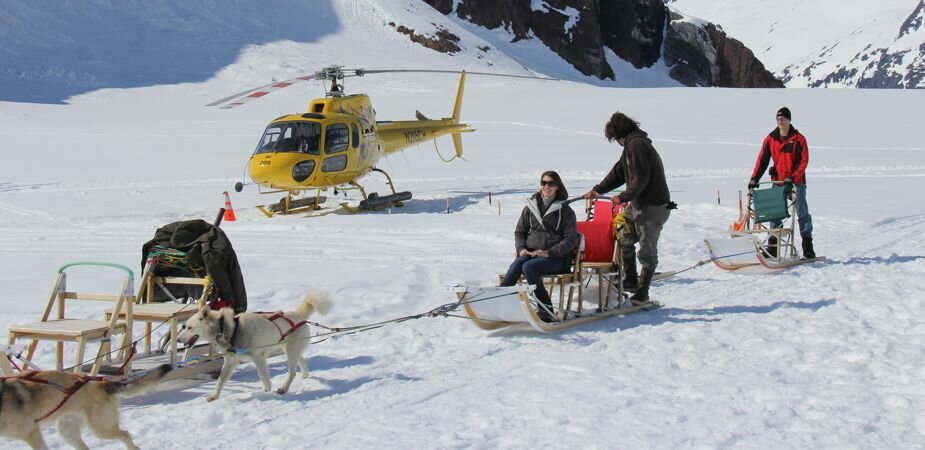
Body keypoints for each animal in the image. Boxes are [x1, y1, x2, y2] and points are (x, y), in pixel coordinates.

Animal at [178, 292, 332, 400]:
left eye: (190, 327)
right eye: (185, 326)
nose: (178, 339)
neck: (230, 329)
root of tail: (298, 315)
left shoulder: (258, 358)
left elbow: (263, 376)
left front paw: (267, 388)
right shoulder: (230, 361)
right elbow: (221, 380)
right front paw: (214, 396)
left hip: (290, 351)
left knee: (292, 372)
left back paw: (283, 388)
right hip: (288, 349)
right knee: (301, 360)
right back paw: (305, 375)